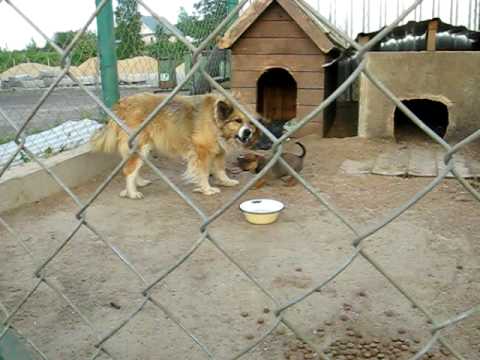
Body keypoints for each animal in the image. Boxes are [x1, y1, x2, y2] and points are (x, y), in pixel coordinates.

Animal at [90, 92, 255, 200]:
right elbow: (203, 173)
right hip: (141, 146)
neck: (214, 119)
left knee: (132, 167)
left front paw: (226, 181)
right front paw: (206, 189)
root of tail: (122, 103)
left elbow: (220, 169)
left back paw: (139, 183)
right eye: (238, 120)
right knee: (129, 170)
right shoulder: (201, 150)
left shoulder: (219, 151)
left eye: (250, 122)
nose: (248, 132)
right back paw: (132, 193)